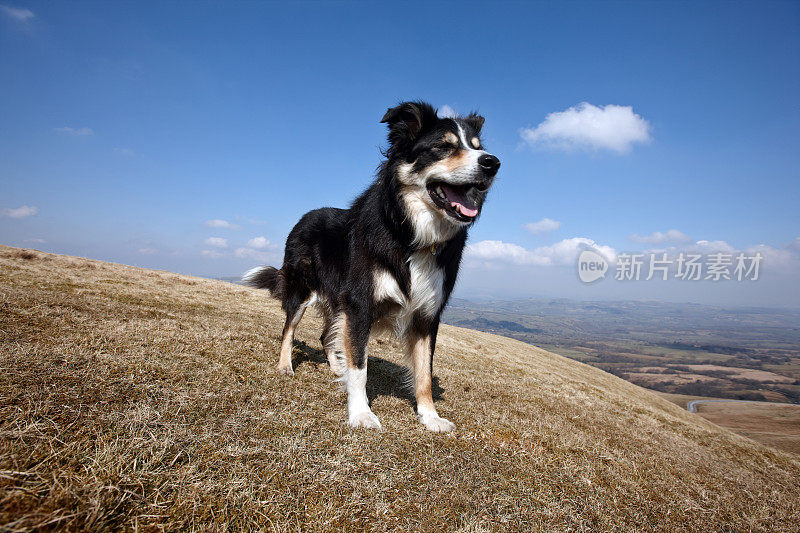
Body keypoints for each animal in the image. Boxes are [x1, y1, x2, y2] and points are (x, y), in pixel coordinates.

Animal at [247, 101, 500, 432]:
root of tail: (305, 216)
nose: (492, 163)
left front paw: (430, 417)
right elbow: (360, 366)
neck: (410, 234)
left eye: (477, 147)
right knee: (288, 330)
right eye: (444, 147)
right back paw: (285, 365)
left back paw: (335, 366)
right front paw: (361, 413)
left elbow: (424, 373)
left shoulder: (427, 316)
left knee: (326, 336)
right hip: (301, 290)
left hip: (336, 302)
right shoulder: (360, 304)